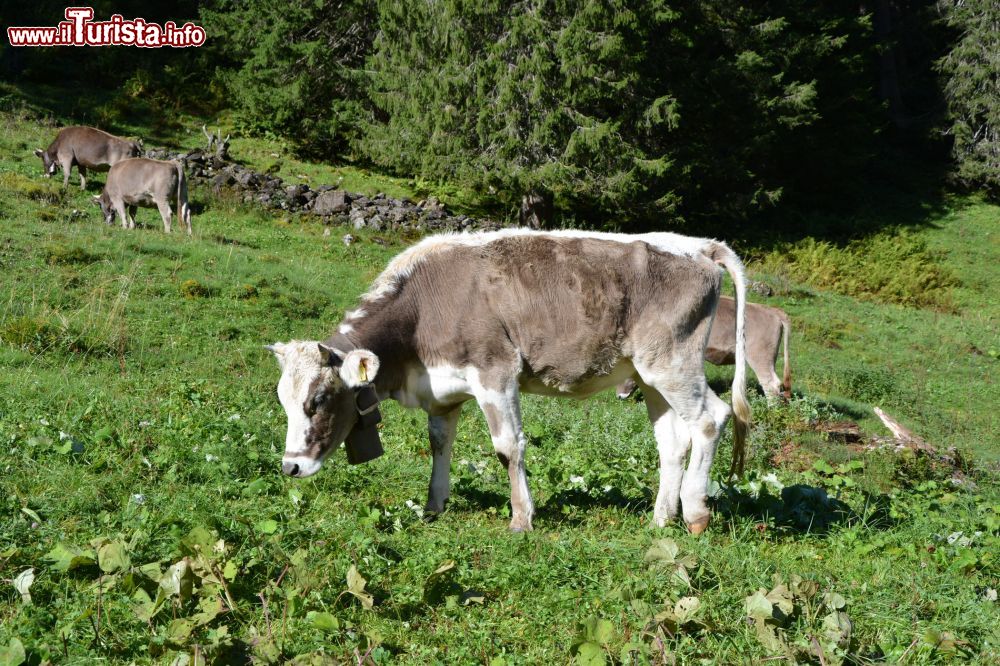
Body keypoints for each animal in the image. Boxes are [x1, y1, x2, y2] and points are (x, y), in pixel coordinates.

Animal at [266, 231, 752, 532]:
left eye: (319, 399)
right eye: (284, 401)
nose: (291, 466)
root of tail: (700, 246)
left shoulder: (495, 371)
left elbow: (507, 446)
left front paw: (521, 518)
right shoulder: (443, 392)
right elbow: (439, 443)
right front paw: (434, 506)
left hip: (672, 363)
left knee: (711, 418)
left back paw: (694, 511)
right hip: (648, 375)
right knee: (672, 442)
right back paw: (659, 519)